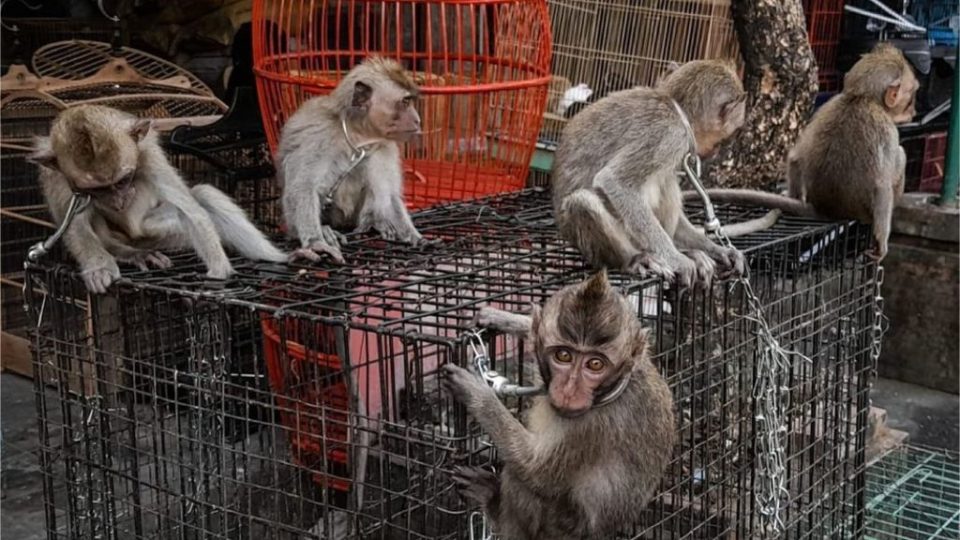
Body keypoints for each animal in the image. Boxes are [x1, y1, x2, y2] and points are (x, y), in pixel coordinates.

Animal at [30, 103, 292, 294]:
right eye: (97, 190)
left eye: (123, 181)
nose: (118, 202)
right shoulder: (57, 177)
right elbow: (75, 227)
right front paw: (98, 266)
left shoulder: (148, 153)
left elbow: (192, 211)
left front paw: (218, 272)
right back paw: (131, 253)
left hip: (164, 236)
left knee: (202, 195)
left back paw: (277, 257)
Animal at [278, 57, 428, 264]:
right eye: (405, 102)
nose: (418, 120)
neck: (358, 134)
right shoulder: (320, 137)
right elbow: (303, 188)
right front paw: (316, 242)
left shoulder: (384, 146)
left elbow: (389, 194)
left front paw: (412, 234)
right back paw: (324, 230)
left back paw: (374, 222)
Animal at [442, 272, 676, 540]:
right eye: (563, 356)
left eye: (595, 364)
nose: (569, 389)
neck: (612, 391)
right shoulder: (641, 361)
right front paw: (506, 319)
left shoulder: (589, 427)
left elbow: (534, 469)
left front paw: (477, 393)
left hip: (558, 528)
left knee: (519, 477)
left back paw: (494, 506)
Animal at [556, 59, 752, 288]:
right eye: (733, 131)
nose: (718, 150)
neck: (677, 109)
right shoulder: (671, 135)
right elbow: (614, 181)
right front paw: (677, 260)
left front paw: (718, 250)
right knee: (581, 201)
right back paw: (633, 259)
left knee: (666, 181)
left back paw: (689, 251)